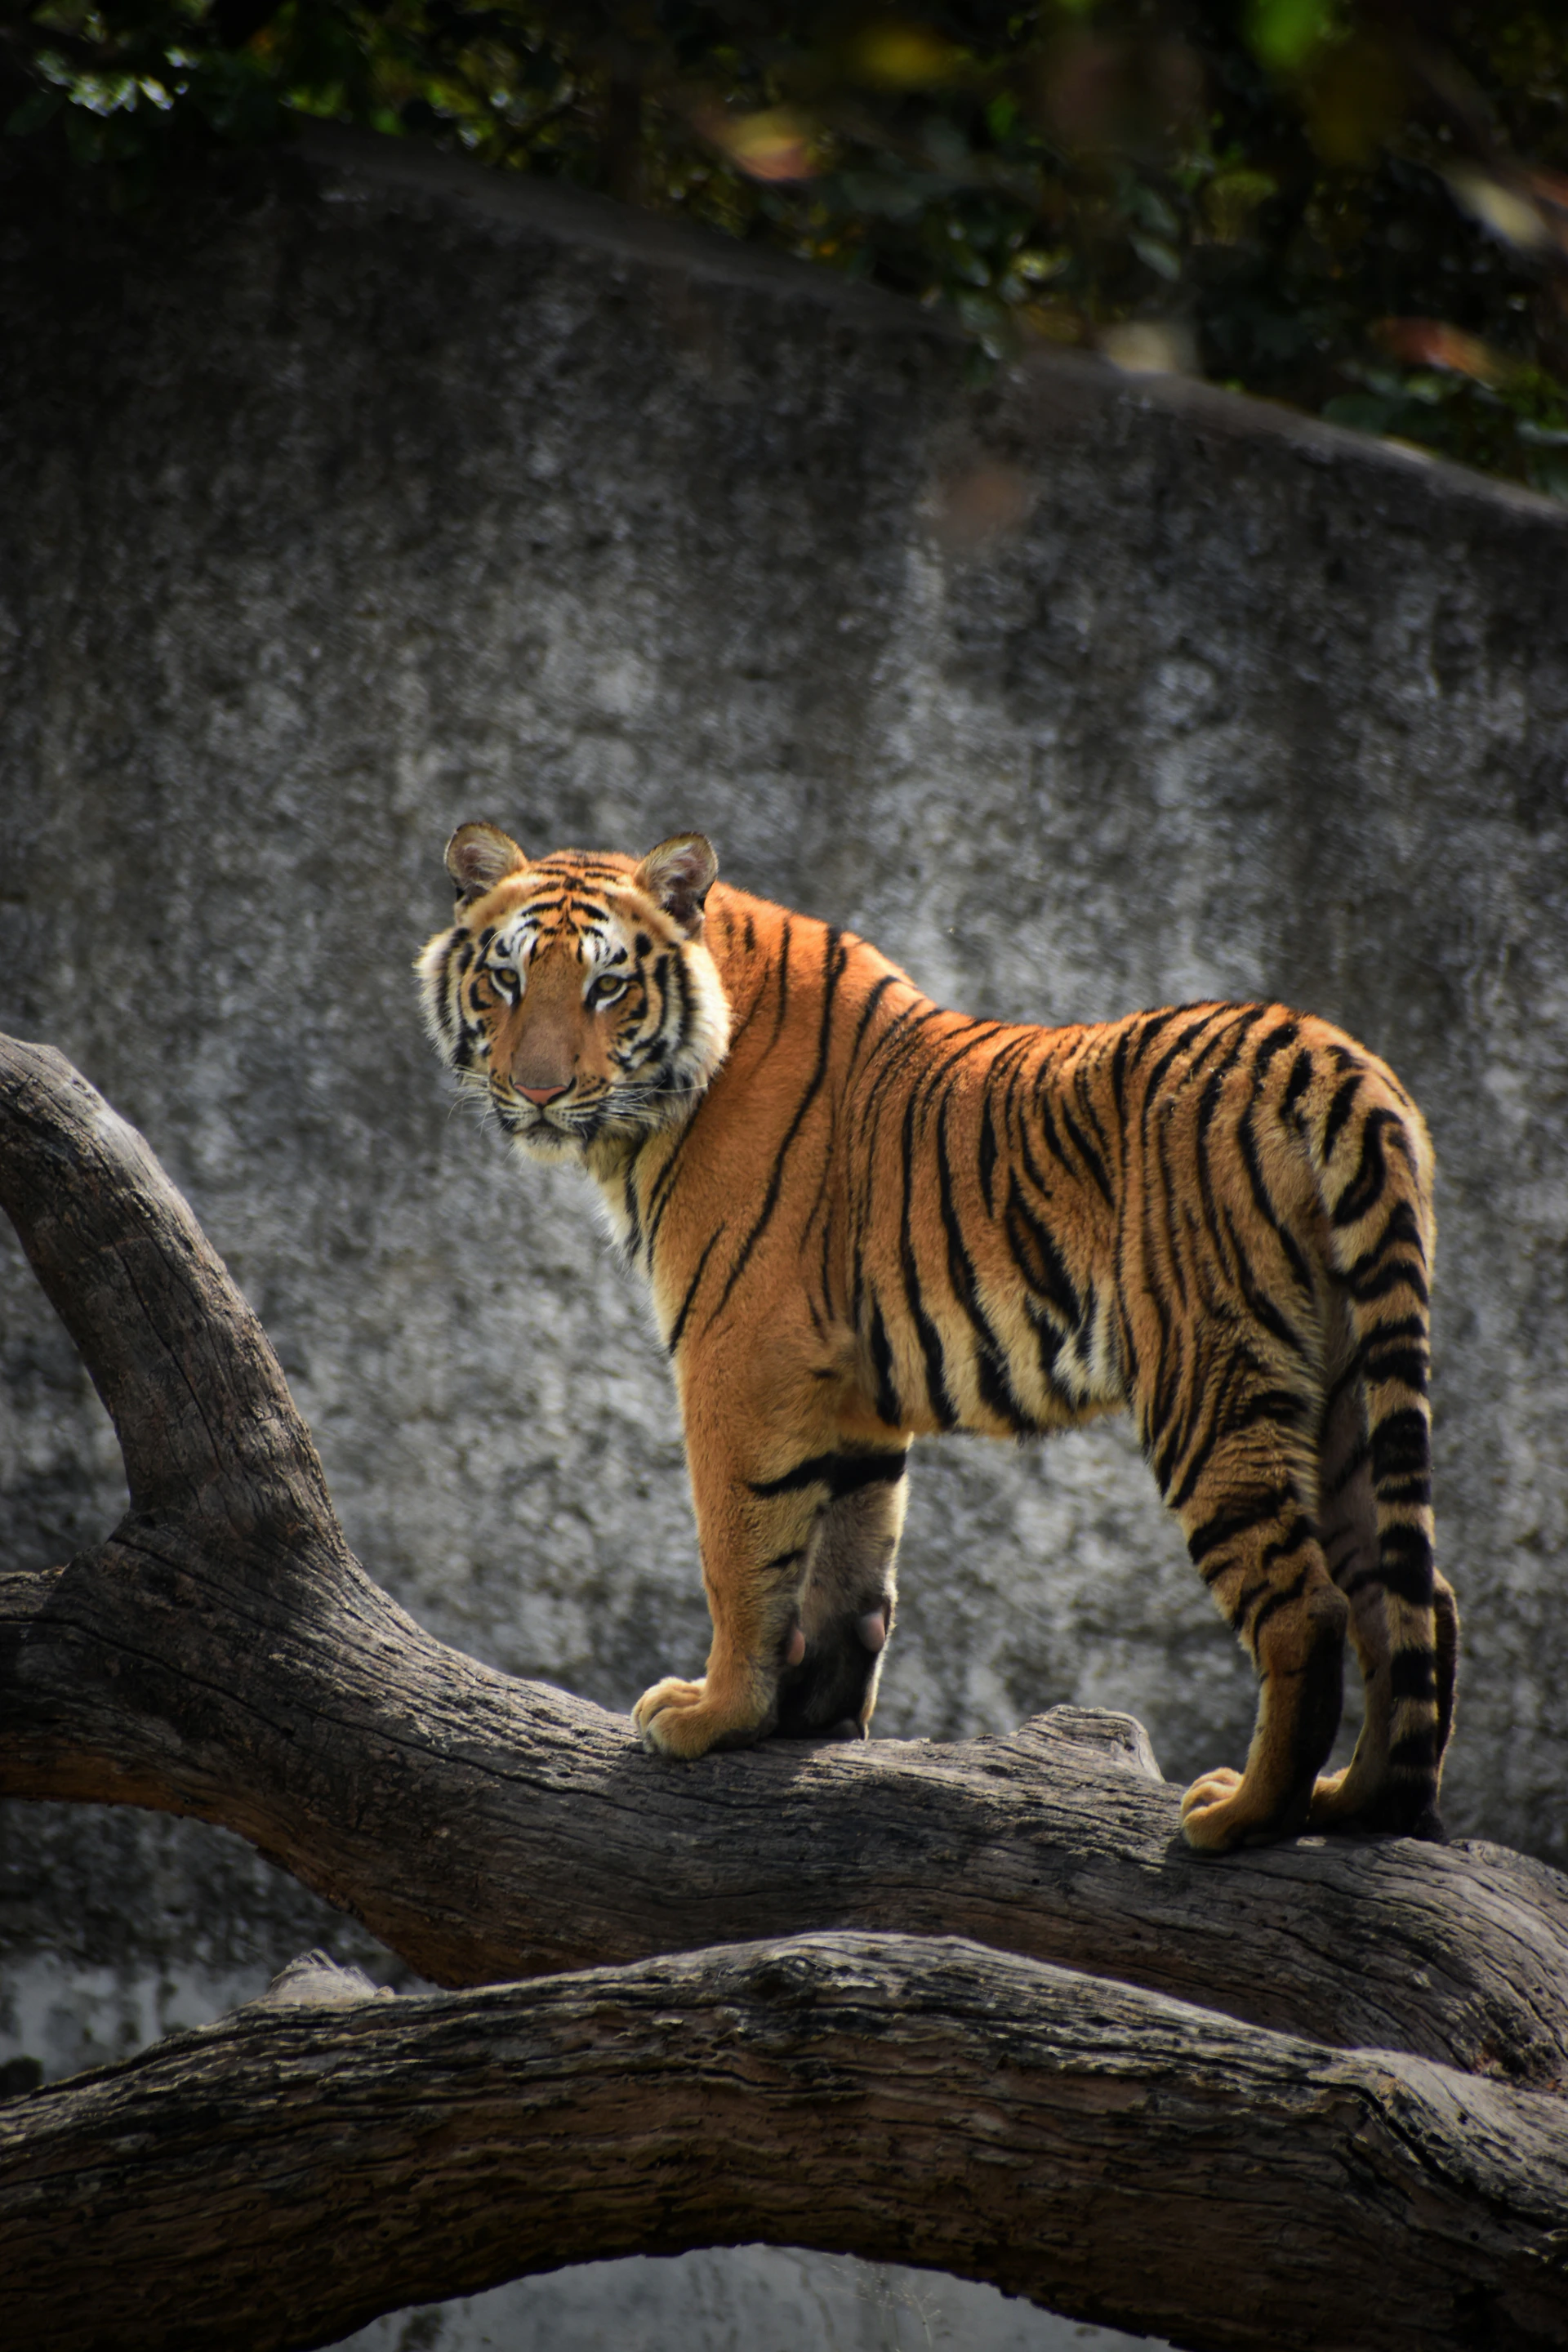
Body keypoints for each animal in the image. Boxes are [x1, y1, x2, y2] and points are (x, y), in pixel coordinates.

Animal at [418, 821, 1458, 1853]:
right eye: (507, 979)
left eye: (607, 986)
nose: (539, 1091)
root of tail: (1329, 1055)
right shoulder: (849, 1388)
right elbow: (850, 1558)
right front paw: (811, 1718)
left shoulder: (738, 1351)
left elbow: (741, 1548)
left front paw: (715, 1715)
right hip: (1348, 1388)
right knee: (1410, 1599)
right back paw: (1355, 1803)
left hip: (1206, 1379)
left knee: (1308, 1607)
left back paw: (1240, 1817)